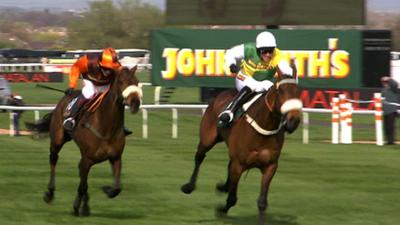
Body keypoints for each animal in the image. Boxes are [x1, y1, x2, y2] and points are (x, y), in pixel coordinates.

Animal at [25, 66, 141, 216]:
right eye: (121, 81)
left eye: (137, 82)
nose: (135, 103)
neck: (107, 127)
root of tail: (66, 96)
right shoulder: (87, 159)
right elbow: (83, 185)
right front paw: (76, 206)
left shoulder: (115, 157)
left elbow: (116, 188)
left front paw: (105, 190)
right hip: (57, 140)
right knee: (53, 160)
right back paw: (50, 193)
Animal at [180, 69, 300, 224]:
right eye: (280, 91)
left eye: (297, 91)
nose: (293, 121)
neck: (263, 125)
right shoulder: (239, 164)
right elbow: (232, 199)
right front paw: (221, 210)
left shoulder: (270, 166)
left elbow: (262, 202)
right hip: (208, 138)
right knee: (199, 157)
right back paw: (189, 186)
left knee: (228, 165)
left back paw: (223, 186)